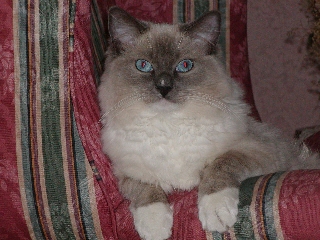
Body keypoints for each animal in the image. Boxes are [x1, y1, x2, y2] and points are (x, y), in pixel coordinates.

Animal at [99, 6, 318, 240]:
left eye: (185, 66)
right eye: (143, 65)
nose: (164, 87)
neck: (169, 125)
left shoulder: (257, 149)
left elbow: (219, 167)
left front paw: (216, 214)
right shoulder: (128, 170)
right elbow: (145, 190)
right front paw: (155, 227)